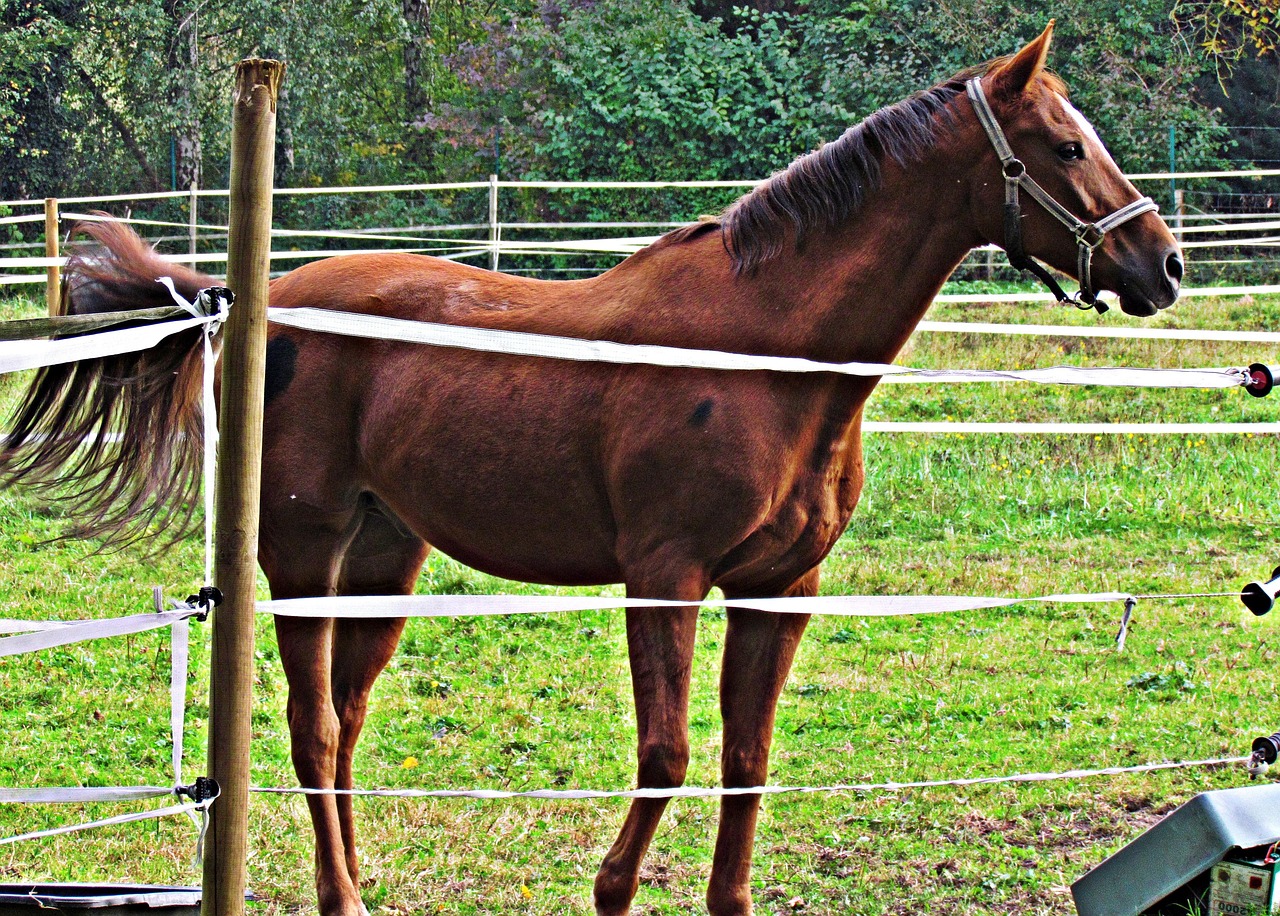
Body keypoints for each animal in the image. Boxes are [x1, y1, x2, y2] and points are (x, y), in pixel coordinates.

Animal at [1, 23, 1181, 916]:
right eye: (1062, 146)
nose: (1160, 264)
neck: (764, 351)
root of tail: (256, 303)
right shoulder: (664, 575)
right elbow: (666, 752)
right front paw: (613, 889)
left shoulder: (779, 589)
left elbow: (746, 758)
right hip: (302, 554)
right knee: (314, 726)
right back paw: (341, 895)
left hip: (383, 558)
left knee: (344, 726)